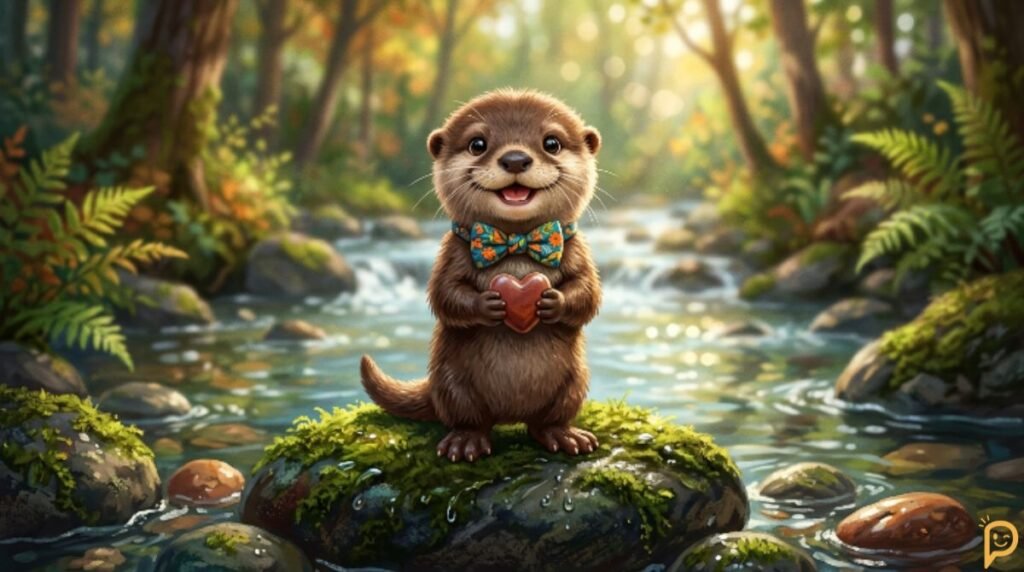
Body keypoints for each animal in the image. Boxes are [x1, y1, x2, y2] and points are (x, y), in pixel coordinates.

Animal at [361, 89, 602, 463]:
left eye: (552, 143)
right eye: (477, 144)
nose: (515, 159)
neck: (516, 247)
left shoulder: (578, 250)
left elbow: (587, 294)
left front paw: (552, 301)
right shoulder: (450, 254)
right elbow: (444, 296)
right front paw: (490, 304)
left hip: (573, 382)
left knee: (546, 421)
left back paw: (565, 436)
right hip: (453, 383)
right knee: (469, 418)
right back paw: (465, 443)